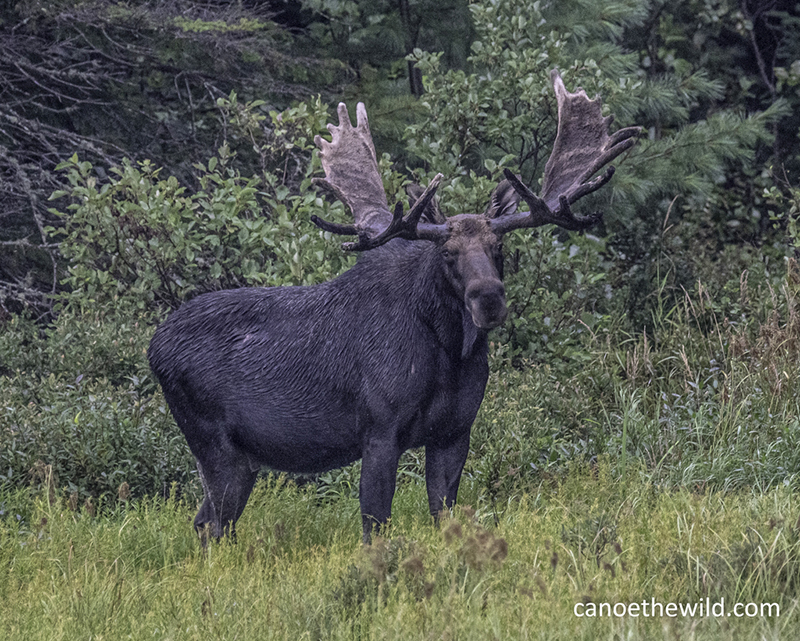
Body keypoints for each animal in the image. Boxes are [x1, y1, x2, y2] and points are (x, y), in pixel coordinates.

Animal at [148, 71, 636, 540]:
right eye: (447, 253)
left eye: (499, 246)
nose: (489, 300)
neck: (449, 356)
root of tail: (152, 348)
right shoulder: (379, 429)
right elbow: (375, 525)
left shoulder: (455, 431)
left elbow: (444, 515)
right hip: (212, 441)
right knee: (213, 523)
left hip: (241, 457)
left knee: (207, 523)